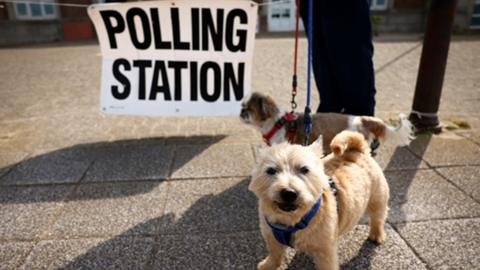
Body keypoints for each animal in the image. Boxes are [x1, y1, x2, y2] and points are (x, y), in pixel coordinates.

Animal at [249, 130, 392, 268]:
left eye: (304, 169)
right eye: (271, 170)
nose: (289, 193)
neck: (291, 221)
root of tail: (357, 149)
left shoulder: (325, 251)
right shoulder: (271, 237)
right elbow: (274, 254)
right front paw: (268, 265)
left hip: (378, 198)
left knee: (378, 217)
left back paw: (377, 235)